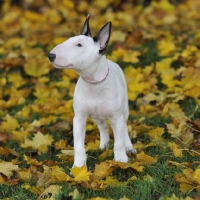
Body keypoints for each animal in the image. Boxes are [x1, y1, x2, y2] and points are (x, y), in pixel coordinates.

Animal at [48, 14, 136, 167]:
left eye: (79, 45)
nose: (50, 55)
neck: (94, 83)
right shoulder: (79, 118)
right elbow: (78, 145)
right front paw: (78, 166)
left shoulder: (116, 117)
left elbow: (119, 141)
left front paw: (120, 159)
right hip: (96, 116)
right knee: (103, 127)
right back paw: (104, 144)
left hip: (124, 110)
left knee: (124, 127)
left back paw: (129, 147)